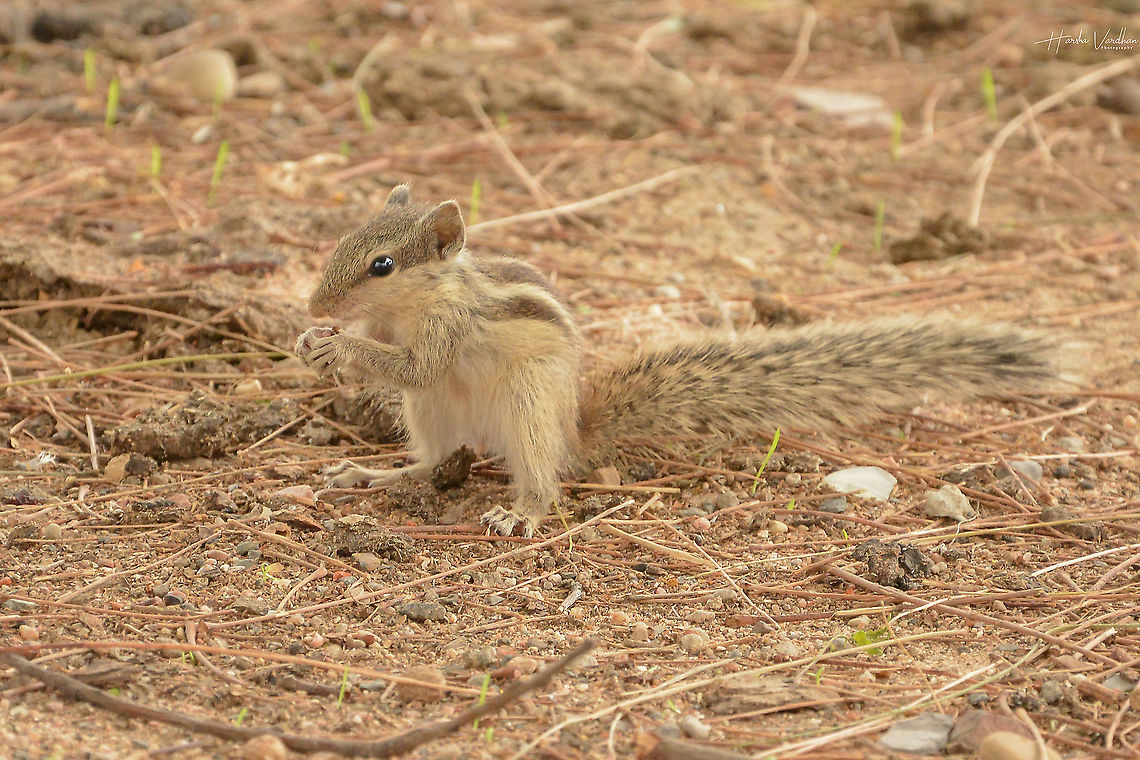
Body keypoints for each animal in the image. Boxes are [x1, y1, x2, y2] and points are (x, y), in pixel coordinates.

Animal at [295, 185, 1061, 537]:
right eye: (340, 240)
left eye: (382, 264)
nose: (312, 304)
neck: (416, 305)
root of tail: (575, 429)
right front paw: (315, 342)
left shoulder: (447, 331)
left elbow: (416, 363)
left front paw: (337, 344)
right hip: (432, 416)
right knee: (432, 458)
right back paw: (372, 474)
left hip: (529, 408)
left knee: (543, 477)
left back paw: (523, 513)